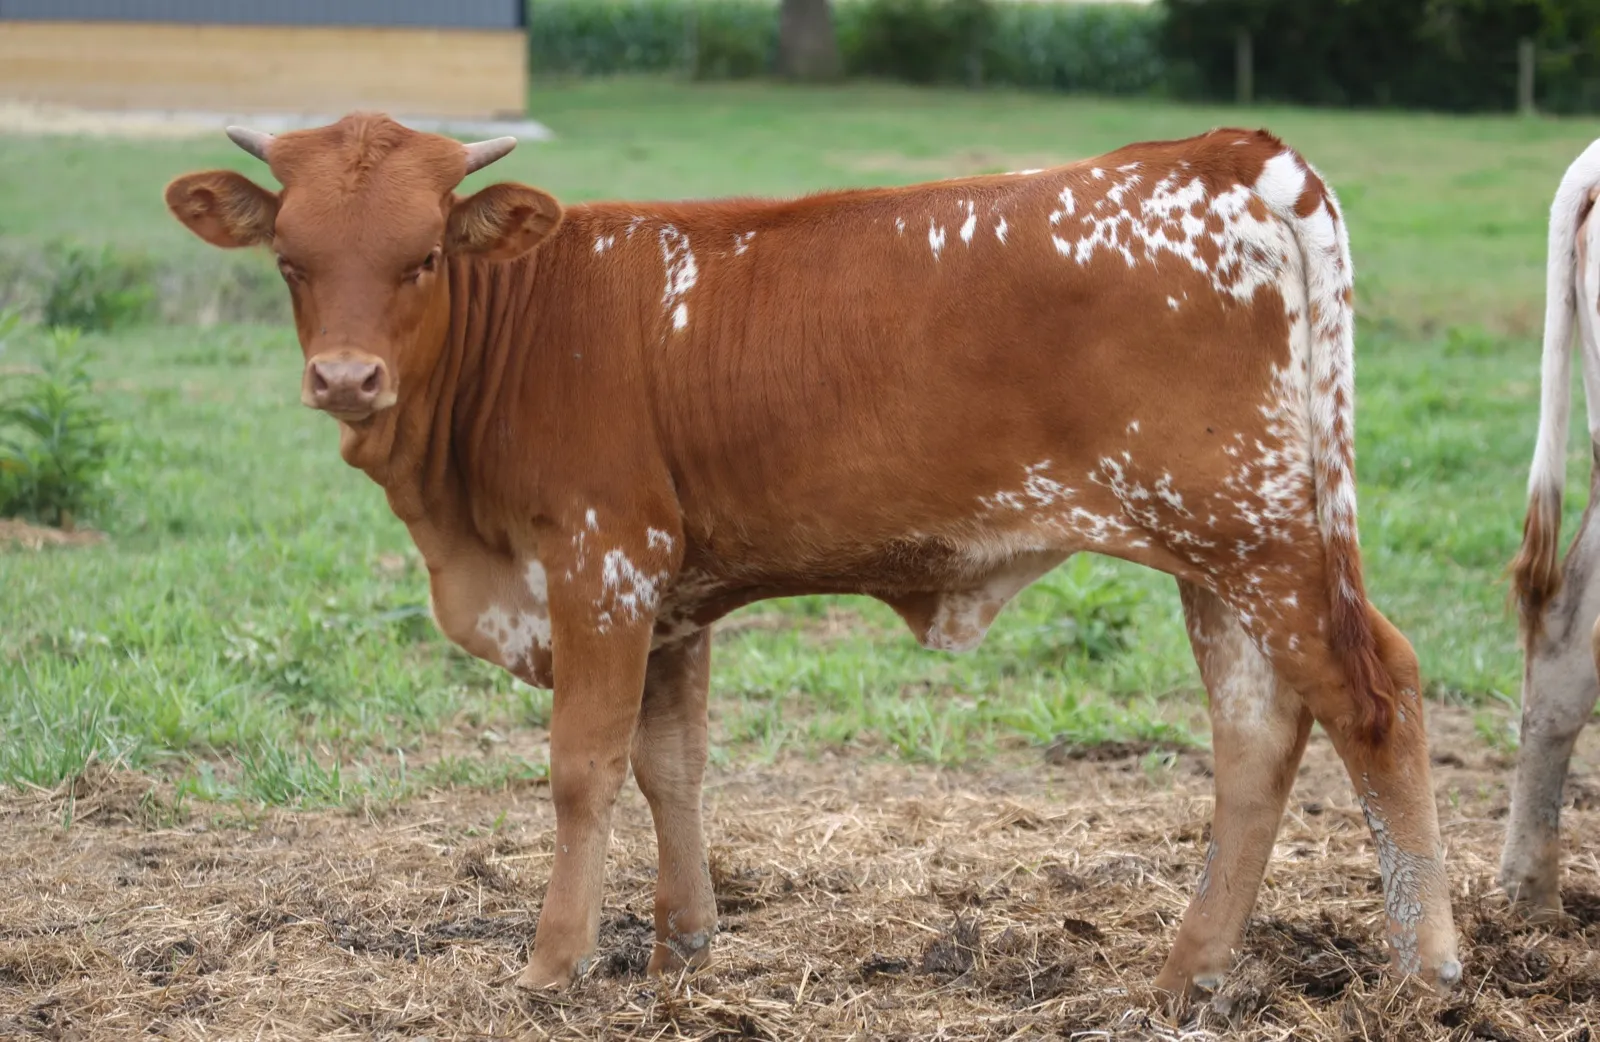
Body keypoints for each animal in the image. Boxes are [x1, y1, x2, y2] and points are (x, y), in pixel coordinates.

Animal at [163, 113, 1461, 996]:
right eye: (289, 257)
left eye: (425, 256)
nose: (345, 378)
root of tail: (1224, 150)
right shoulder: (671, 597)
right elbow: (671, 765)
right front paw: (682, 939)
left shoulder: (603, 564)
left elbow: (583, 768)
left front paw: (555, 960)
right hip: (1219, 555)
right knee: (1258, 737)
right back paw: (1189, 971)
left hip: (1262, 537)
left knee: (1375, 695)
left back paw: (1424, 964)